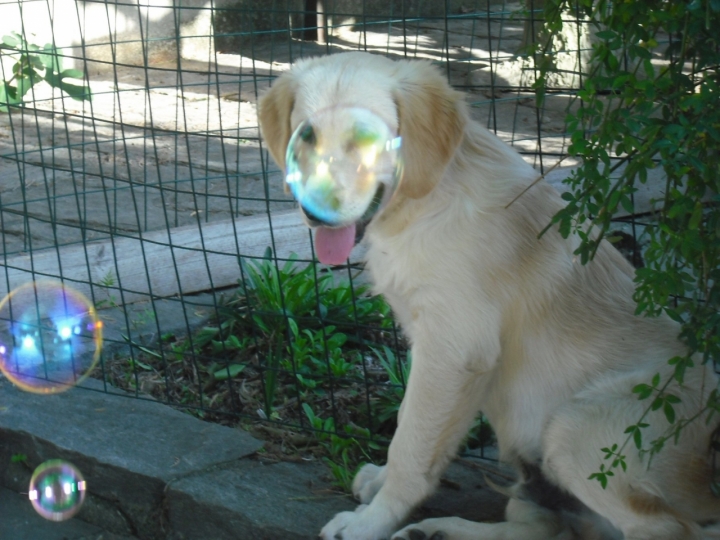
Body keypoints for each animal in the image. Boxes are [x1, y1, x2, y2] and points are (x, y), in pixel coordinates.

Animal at [258, 51, 720, 540]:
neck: (424, 204)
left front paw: (371, 521)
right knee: (547, 527)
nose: (314, 213)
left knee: (667, 530)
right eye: (305, 137)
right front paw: (381, 486)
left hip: (575, 430)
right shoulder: (429, 343)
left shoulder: (455, 350)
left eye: (366, 141)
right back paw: (436, 531)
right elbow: (408, 422)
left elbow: (411, 445)